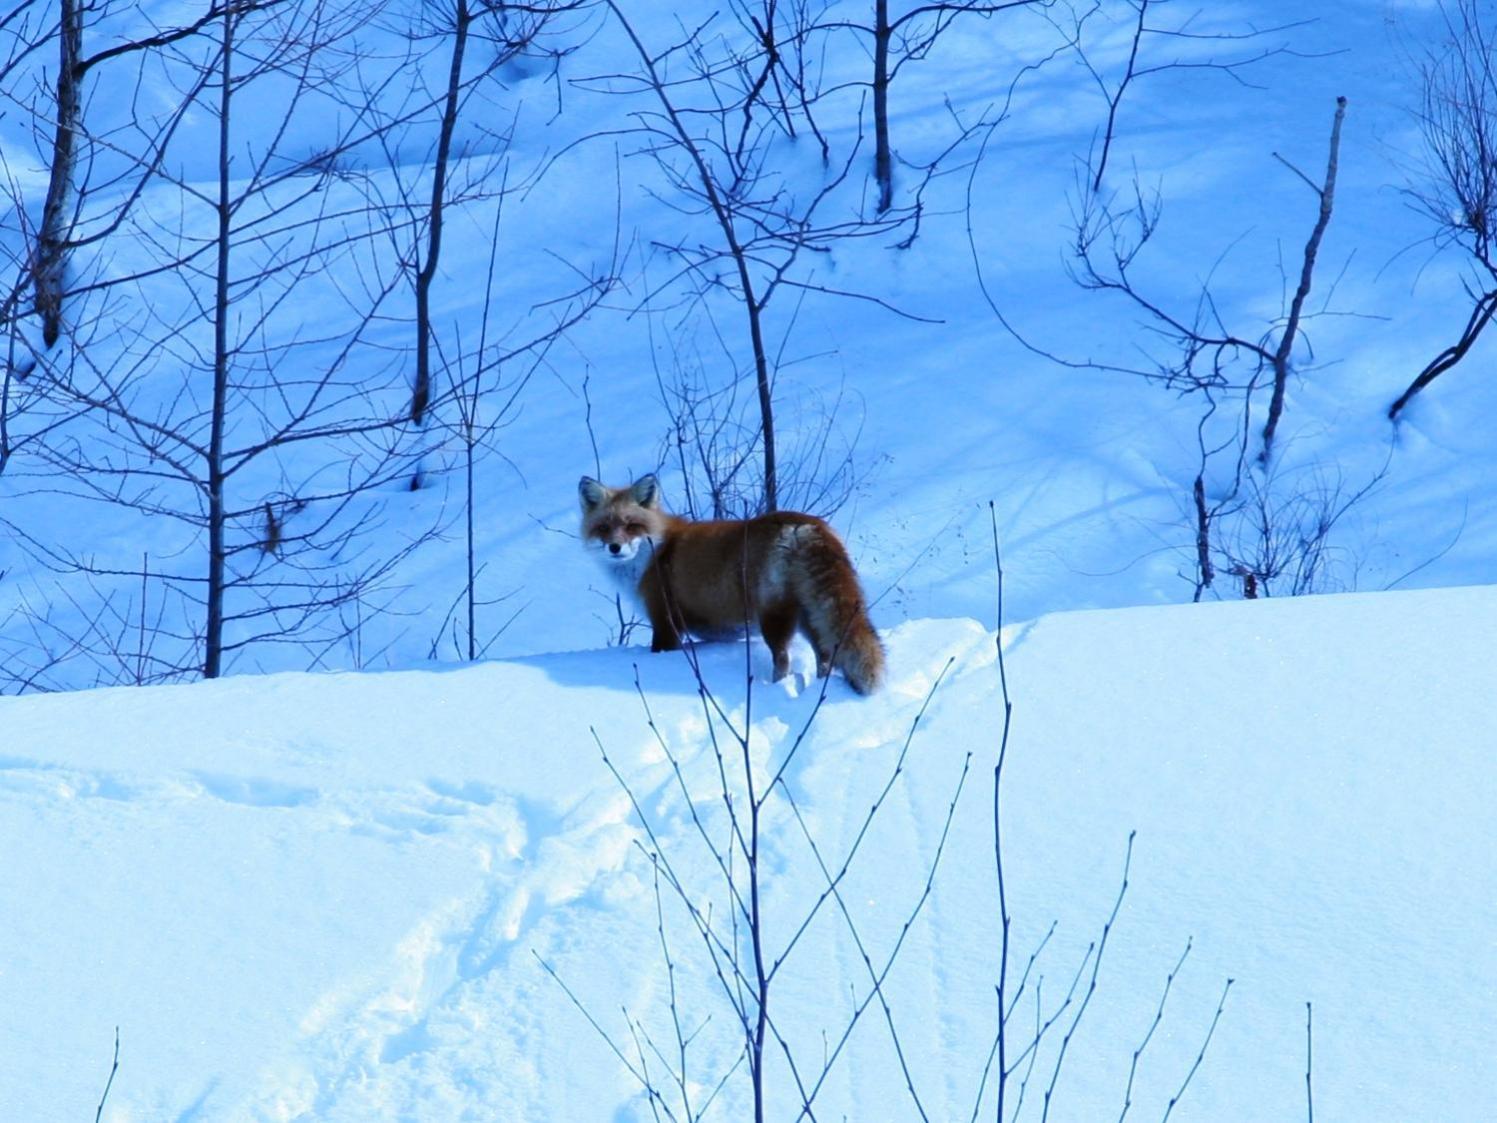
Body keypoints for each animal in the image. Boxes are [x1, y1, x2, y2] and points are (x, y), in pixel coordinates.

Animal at [577, 476, 880, 694]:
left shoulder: (665, 622)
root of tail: (804, 524)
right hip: (808, 617)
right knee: (826, 656)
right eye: (603, 528)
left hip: (773, 616)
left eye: (632, 526)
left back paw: (776, 688)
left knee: (783, 658)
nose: (614, 548)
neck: (653, 554)